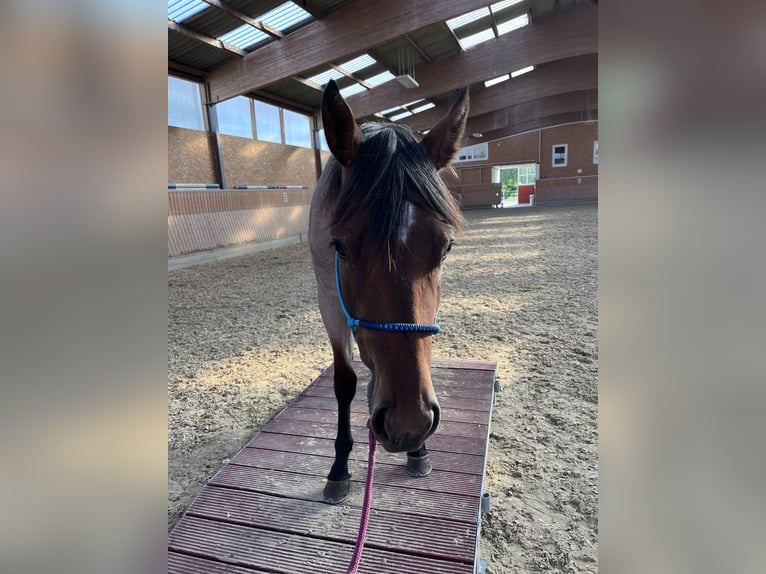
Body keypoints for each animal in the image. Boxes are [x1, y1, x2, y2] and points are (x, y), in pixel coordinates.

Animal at [310, 80, 468, 504]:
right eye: (340, 248)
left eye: (446, 248)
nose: (408, 423)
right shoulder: (329, 304)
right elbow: (344, 382)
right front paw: (339, 467)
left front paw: (420, 450)